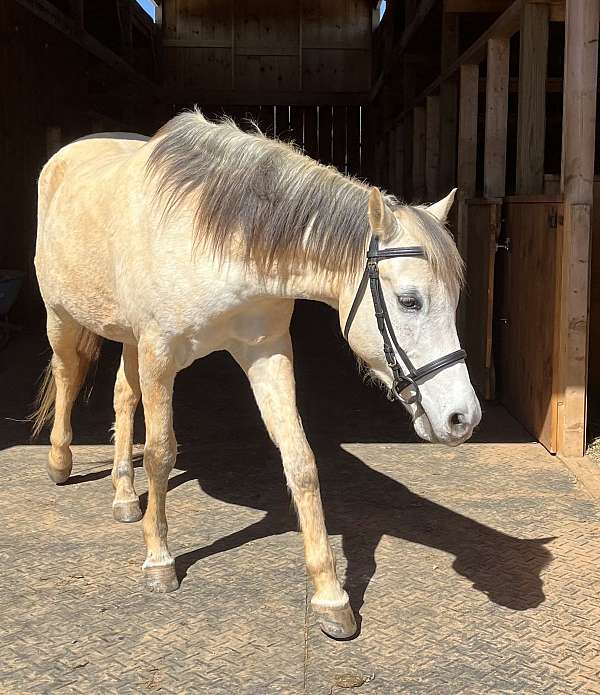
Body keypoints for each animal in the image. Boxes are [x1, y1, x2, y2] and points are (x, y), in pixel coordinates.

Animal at [34, 110, 482, 640]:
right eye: (410, 301)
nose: (463, 417)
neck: (211, 241)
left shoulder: (266, 355)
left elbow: (301, 462)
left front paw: (331, 598)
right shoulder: (160, 355)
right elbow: (161, 454)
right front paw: (160, 561)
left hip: (127, 336)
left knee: (124, 396)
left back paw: (125, 497)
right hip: (62, 317)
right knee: (67, 375)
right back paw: (60, 463)